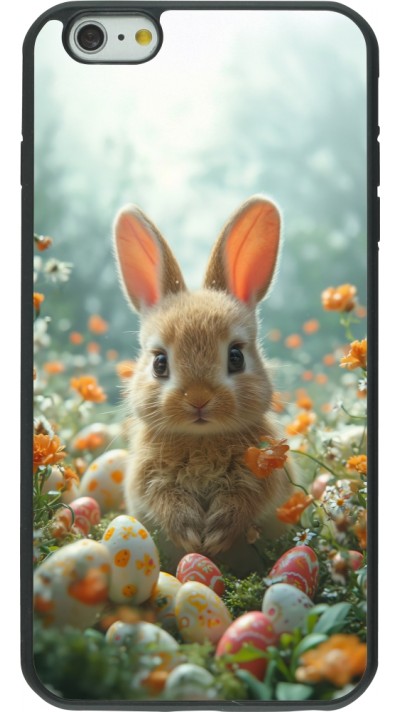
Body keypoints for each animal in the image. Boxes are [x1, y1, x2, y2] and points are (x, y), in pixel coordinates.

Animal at [113, 195, 293, 571]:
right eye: (159, 363)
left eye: (236, 357)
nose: (198, 399)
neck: (201, 439)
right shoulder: (148, 479)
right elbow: (165, 500)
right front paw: (191, 534)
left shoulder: (263, 475)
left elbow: (244, 500)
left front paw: (216, 535)